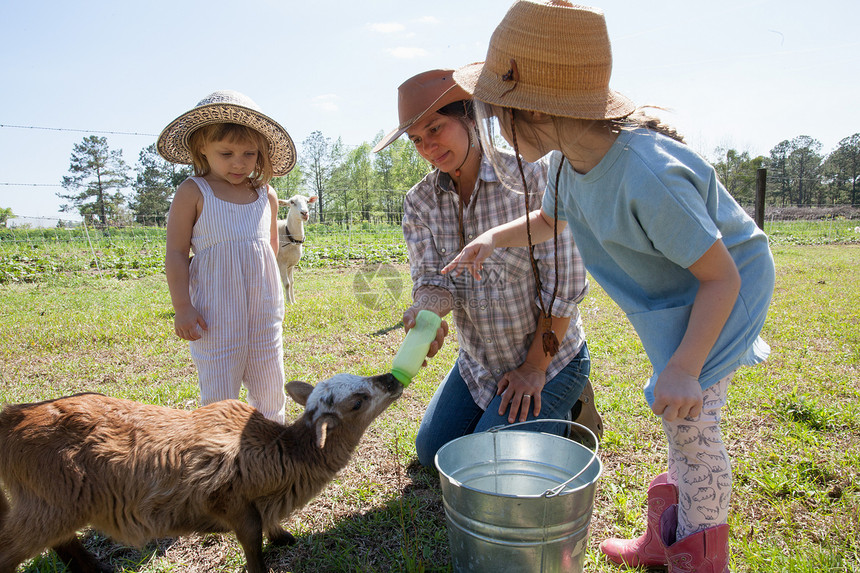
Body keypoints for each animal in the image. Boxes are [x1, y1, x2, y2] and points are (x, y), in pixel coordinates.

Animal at [0, 370, 404, 572]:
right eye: (357, 402)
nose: (392, 379)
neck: (282, 453)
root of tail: (11, 418)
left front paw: (283, 537)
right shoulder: (230, 501)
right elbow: (252, 539)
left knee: (63, 542)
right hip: (50, 503)